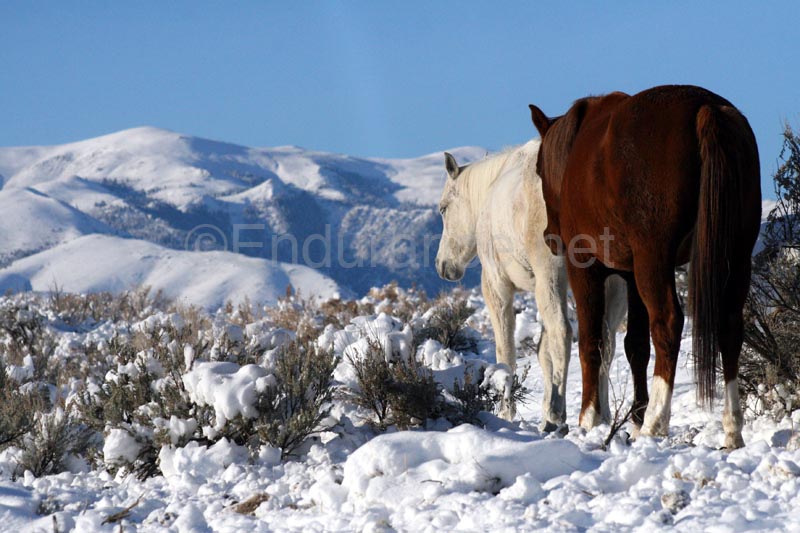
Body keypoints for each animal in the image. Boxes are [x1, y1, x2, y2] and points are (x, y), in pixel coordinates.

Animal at [434, 139, 628, 430]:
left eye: (444, 208)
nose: (442, 265)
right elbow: (542, 352)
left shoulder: (498, 287)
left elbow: (506, 351)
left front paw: (507, 411)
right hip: (612, 282)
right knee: (605, 341)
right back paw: (599, 415)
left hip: (553, 272)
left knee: (563, 333)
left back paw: (559, 415)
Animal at [532, 85, 764, 446]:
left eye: (539, 169)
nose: (549, 237)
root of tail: (706, 108)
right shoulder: (630, 275)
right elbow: (636, 346)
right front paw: (636, 419)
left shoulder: (586, 267)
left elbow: (591, 341)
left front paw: (590, 419)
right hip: (735, 255)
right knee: (729, 327)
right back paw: (731, 429)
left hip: (654, 261)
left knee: (668, 323)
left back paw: (657, 423)